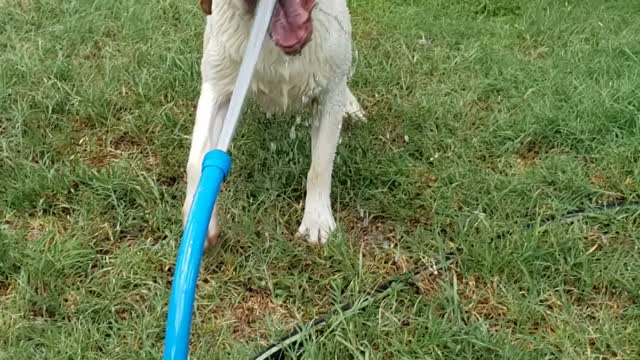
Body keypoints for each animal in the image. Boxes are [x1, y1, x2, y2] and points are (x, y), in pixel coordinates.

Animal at [185, 0, 364, 246]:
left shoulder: (329, 91)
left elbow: (321, 164)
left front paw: (317, 220)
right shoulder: (218, 85)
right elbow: (196, 160)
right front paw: (197, 221)